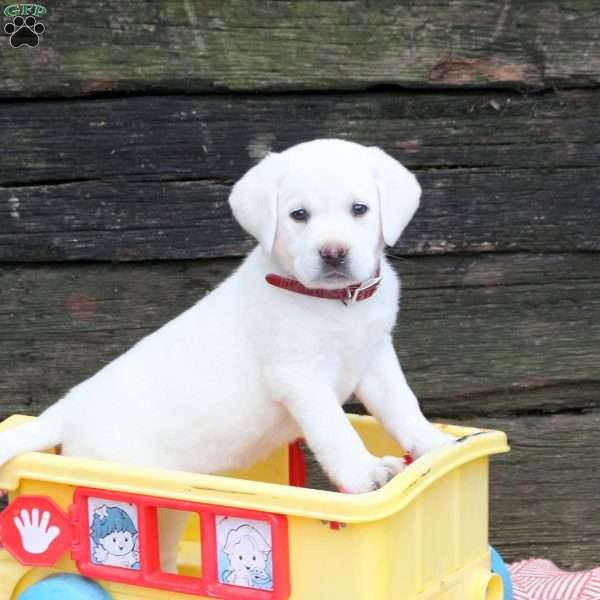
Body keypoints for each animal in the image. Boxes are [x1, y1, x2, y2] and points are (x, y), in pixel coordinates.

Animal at [0, 137, 450, 502]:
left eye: (359, 209)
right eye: (299, 215)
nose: (333, 253)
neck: (338, 304)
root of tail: (66, 410)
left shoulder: (375, 359)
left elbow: (402, 405)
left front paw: (433, 443)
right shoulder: (300, 378)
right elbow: (335, 430)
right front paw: (363, 473)